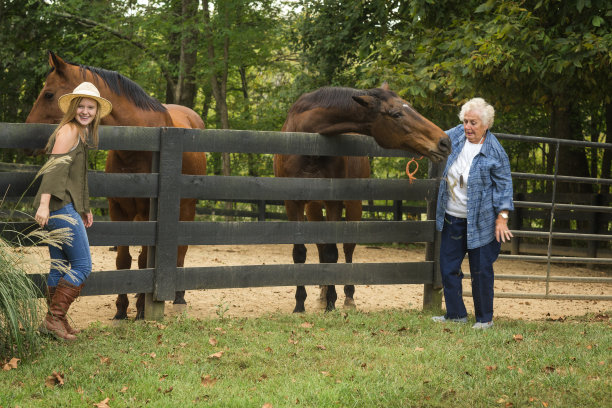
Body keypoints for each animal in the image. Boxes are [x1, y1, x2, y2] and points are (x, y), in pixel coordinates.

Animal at [25, 50, 208, 318]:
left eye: (48, 93)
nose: (29, 138)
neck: (139, 142)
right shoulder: (118, 210)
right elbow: (123, 260)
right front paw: (121, 309)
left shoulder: (148, 213)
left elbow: (143, 260)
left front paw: (141, 308)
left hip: (186, 208)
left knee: (181, 250)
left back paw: (179, 296)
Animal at [274, 83, 452, 312]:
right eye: (396, 114)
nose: (444, 142)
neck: (308, 139)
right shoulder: (292, 203)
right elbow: (300, 252)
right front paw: (300, 304)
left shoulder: (334, 201)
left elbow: (333, 252)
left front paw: (332, 302)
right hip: (313, 208)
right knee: (321, 247)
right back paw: (321, 295)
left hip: (354, 205)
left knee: (348, 248)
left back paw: (348, 297)